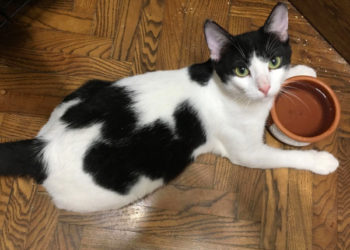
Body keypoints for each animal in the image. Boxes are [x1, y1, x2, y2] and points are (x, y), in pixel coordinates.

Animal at [0, 2, 340, 212]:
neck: (222, 87)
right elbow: (285, 157)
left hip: (87, 86)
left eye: (274, 62)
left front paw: (301, 72)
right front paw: (322, 161)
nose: (265, 87)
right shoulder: (247, 152)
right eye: (242, 70)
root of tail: (42, 146)